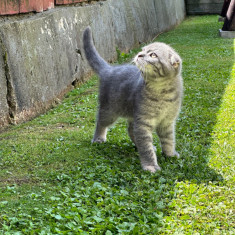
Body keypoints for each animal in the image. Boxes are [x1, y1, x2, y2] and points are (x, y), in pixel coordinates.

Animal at [82, 26, 184, 173]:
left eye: (153, 55)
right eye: (143, 50)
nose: (139, 54)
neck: (162, 93)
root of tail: (109, 69)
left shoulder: (167, 122)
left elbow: (169, 140)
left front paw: (170, 154)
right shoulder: (143, 122)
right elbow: (146, 148)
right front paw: (150, 165)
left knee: (130, 130)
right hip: (110, 110)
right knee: (101, 122)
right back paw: (98, 138)